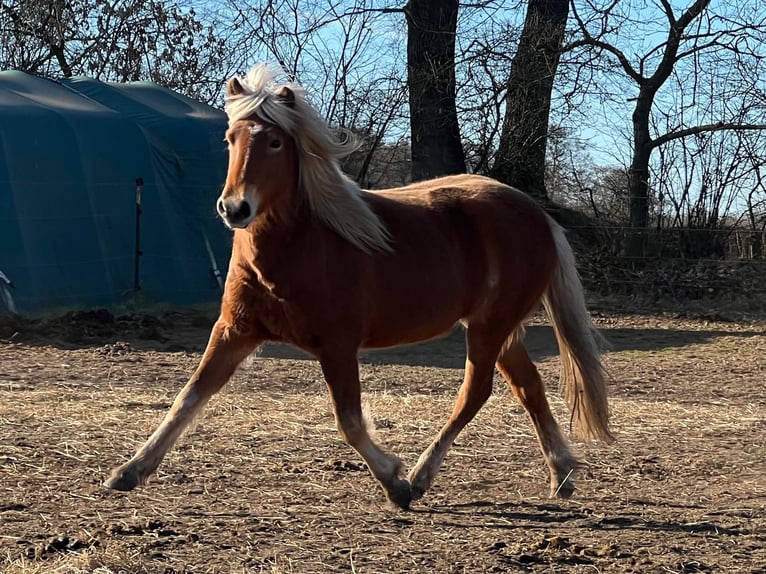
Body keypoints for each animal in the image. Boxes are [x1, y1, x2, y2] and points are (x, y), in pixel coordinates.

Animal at [104, 64, 612, 509]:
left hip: (490, 327)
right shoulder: (234, 331)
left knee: (475, 393)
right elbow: (188, 397)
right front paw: (128, 471)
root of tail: (535, 213)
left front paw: (394, 481)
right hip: (495, 328)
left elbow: (348, 420)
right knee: (529, 387)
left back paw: (422, 477)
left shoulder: (337, 344)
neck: (303, 245)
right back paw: (562, 474)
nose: (235, 209)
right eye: (230, 139)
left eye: (274, 141)